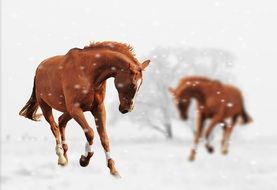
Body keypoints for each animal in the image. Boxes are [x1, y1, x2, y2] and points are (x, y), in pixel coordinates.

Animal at [19, 41, 150, 177]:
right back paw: (61, 158)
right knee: (54, 127)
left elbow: (104, 138)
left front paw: (113, 169)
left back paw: (65, 157)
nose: (127, 109)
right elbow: (90, 132)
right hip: (46, 106)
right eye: (132, 84)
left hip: (67, 111)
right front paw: (84, 160)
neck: (88, 72)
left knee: (61, 121)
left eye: (140, 84)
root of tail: (39, 68)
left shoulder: (98, 108)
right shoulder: (75, 108)